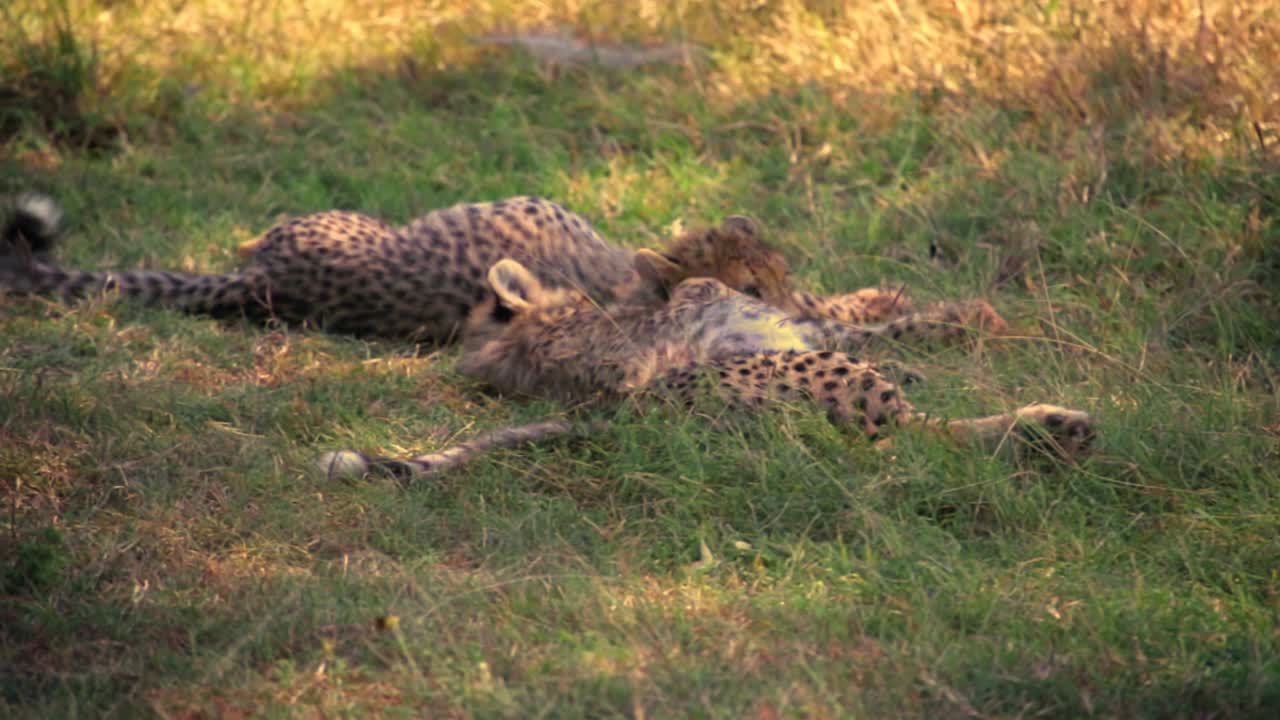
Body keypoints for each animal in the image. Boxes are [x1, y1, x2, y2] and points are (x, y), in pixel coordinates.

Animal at [319, 257, 1089, 480]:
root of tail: (628, 417)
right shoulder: (796, 328)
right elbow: (865, 323)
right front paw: (968, 317)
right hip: (826, 380)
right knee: (918, 438)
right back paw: (1054, 425)